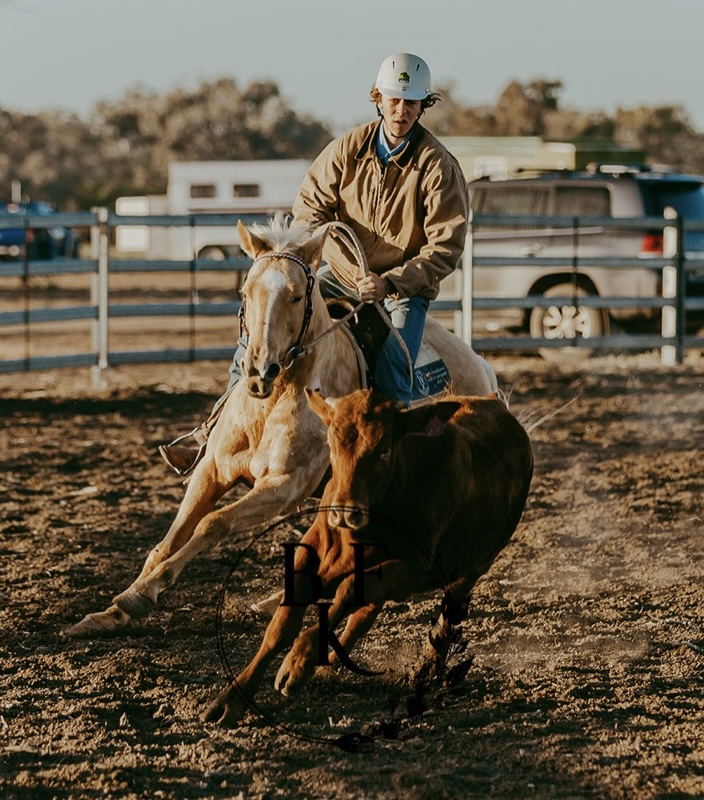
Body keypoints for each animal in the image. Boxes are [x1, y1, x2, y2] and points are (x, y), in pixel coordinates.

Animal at [64, 218, 498, 642]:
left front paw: (142, 595)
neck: (273, 400)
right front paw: (115, 608)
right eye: (246, 291)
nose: (259, 371)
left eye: (295, 296)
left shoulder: (282, 486)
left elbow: (213, 523)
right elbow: (168, 540)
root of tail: (482, 370)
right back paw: (278, 600)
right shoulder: (212, 471)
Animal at [203, 388, 534, 726]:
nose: (344, 511)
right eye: (332, 444)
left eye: (384, 448)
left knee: (443, 620)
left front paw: (296, 665)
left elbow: (348, 590)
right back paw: (328, 670)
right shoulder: (312, 548)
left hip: (472, 571)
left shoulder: (413, 568)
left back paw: (425, 673)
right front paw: (231, 700)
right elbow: (281, 625)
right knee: (363, 616)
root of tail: (495, 402)